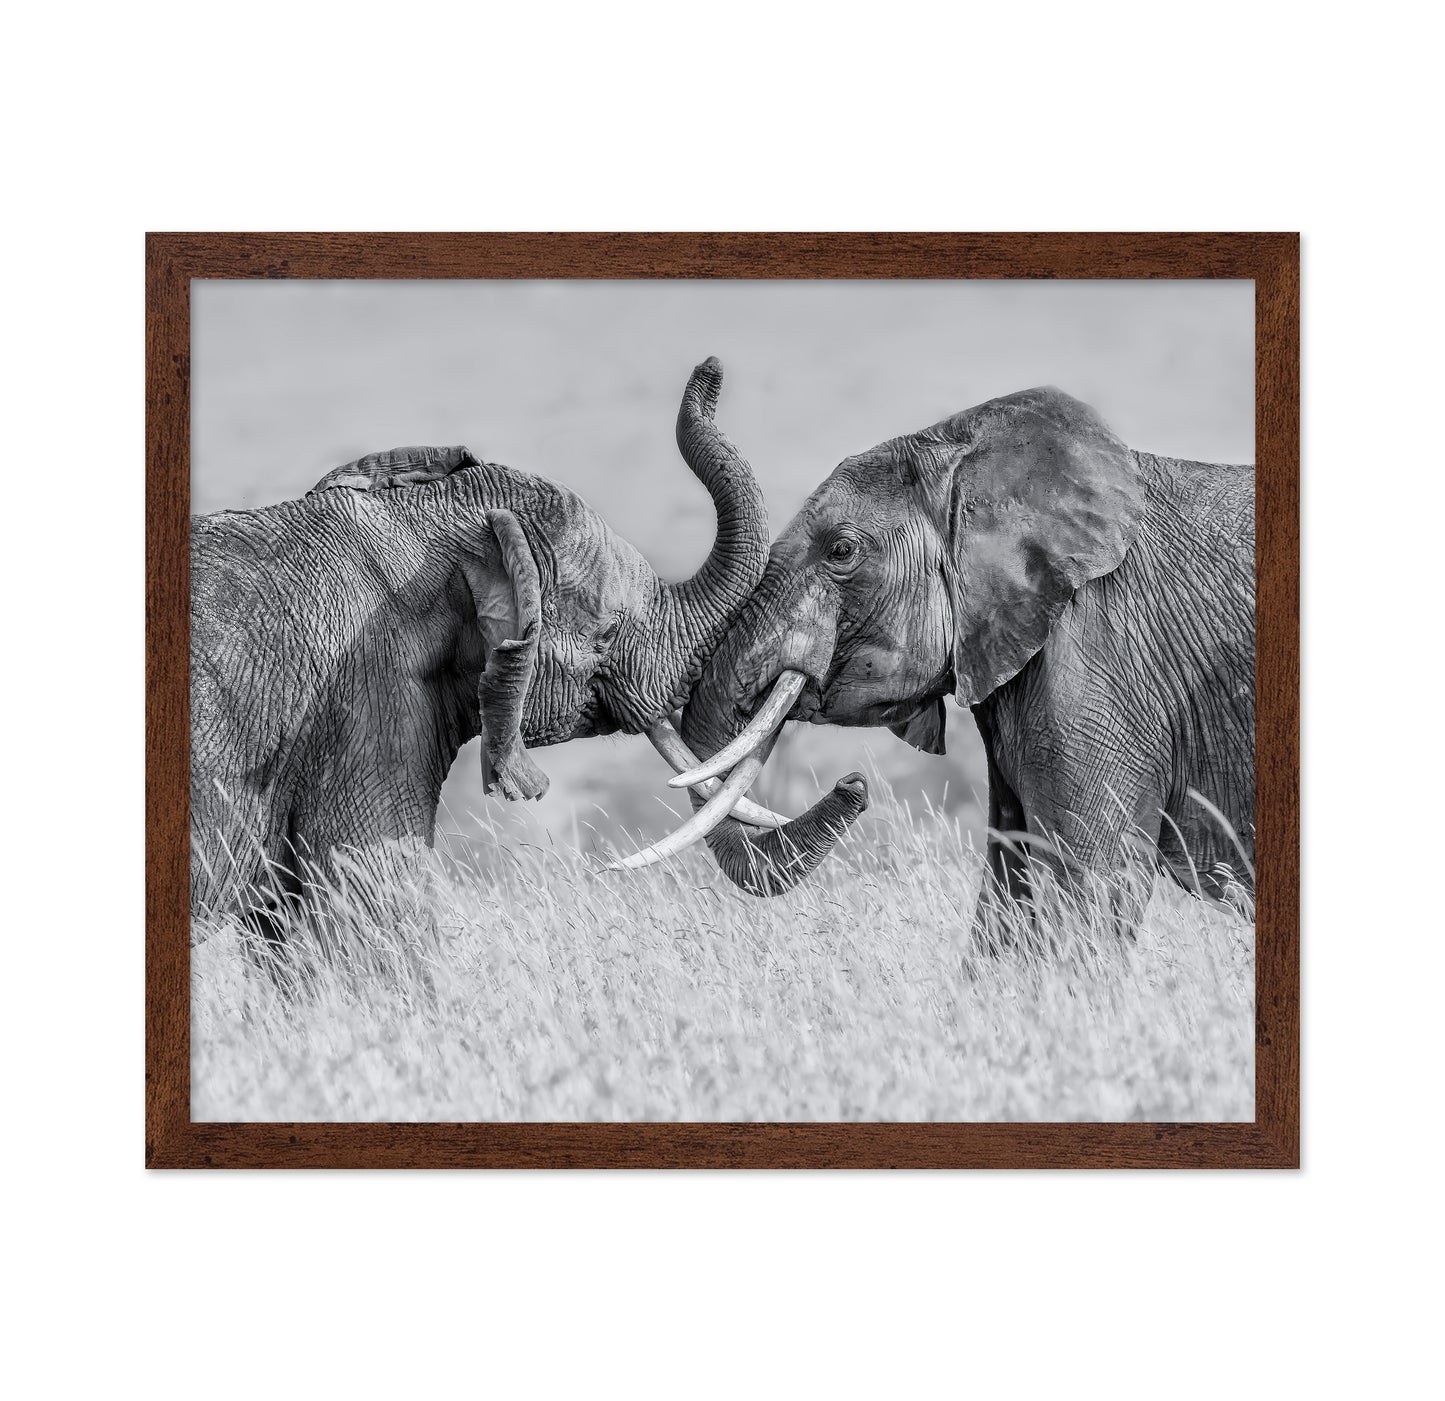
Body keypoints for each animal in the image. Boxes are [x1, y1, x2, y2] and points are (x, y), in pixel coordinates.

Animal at [618, 385, 1255, 941]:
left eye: (840, 551)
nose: (853, 783)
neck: (968, 456)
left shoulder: (1100, 655)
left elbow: (1088, 892)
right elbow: (1007, 890)